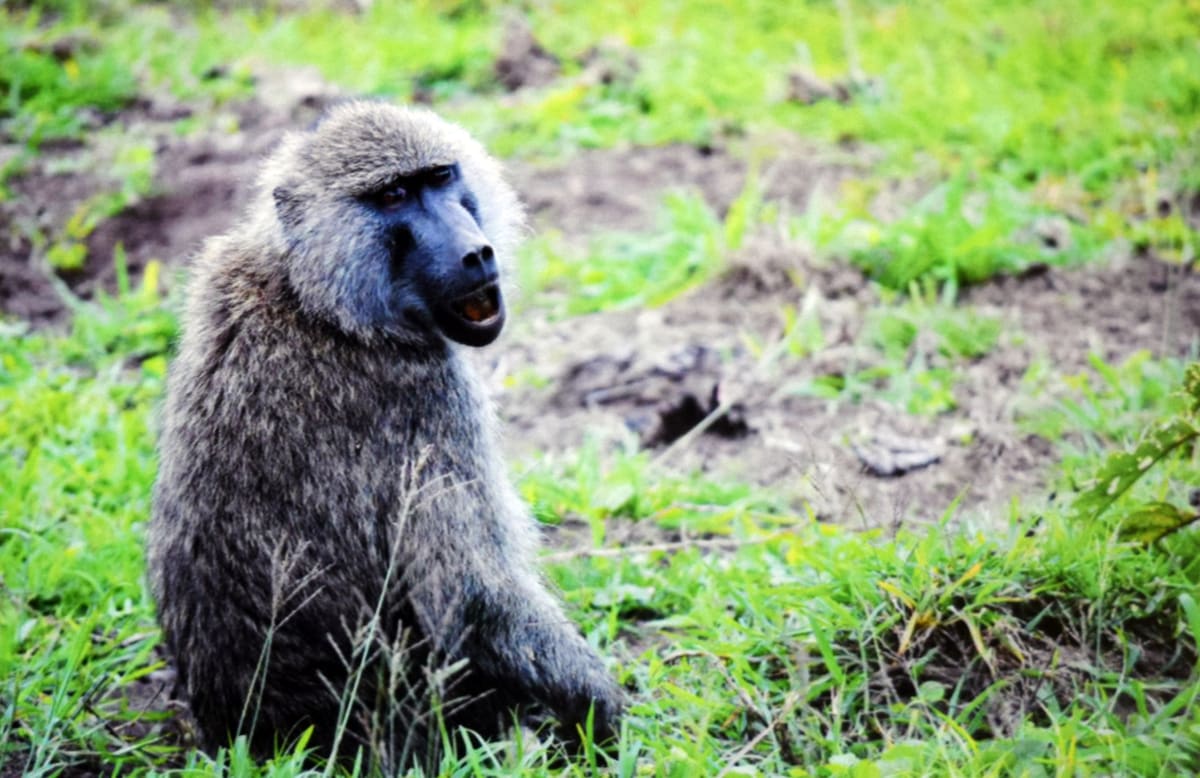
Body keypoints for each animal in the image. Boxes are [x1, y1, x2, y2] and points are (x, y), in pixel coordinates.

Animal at [146, 101, 625, 770]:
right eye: (393, 195)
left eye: (440, 178)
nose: (475, 253)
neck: (315, 297)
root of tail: (257, 741)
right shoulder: (433, 399)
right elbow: (474, 599)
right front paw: (602, 712)